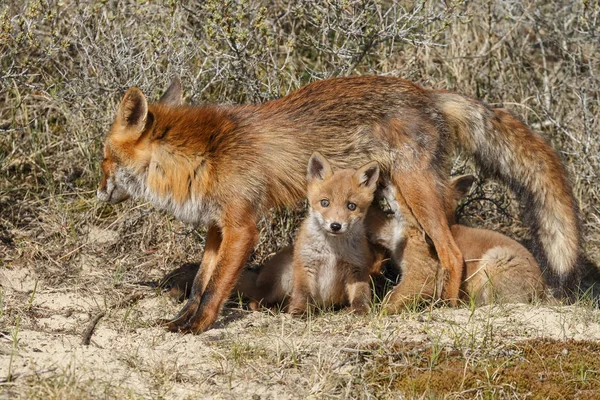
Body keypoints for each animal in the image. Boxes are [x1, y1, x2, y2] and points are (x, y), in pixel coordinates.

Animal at [98, 76, 580, 332]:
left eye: (104, 158)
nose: (97, 191)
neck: (205, 157)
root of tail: (428, 92)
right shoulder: (218, 228)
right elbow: (200, 283)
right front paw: (181, 321)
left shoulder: (243, 226)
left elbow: (216, 289)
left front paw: (199, 328)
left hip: (416, 192)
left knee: (452, 252)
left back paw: (447, 306)